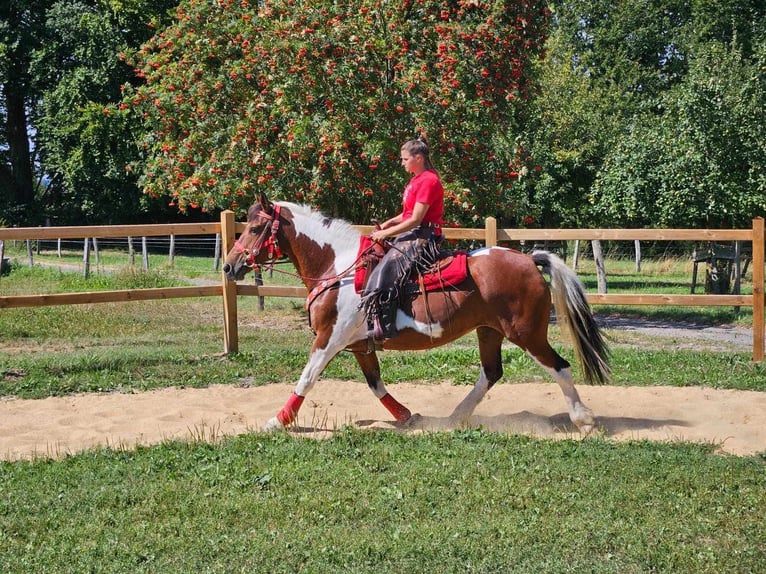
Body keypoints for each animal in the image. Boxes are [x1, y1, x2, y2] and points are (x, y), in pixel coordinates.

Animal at [222, 196, 612, 434]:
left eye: (255, 228)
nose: (229, 265)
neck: (338, 267)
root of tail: (530, 261)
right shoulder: (359, 345)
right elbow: (375, 383)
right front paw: (407, 416)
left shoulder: (329, 338)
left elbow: (307, 378)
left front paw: (277, 421)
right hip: (489, 331)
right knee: (491, 373)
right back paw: (455, 417)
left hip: (526, 334)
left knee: (559, 367)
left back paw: (584, 420)